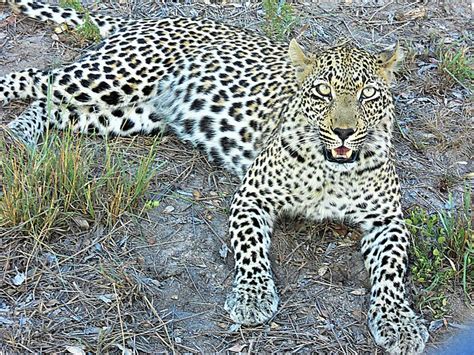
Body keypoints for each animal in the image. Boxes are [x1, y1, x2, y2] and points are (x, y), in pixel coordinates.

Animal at [0, 1, 430, 354]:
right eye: (323, 92)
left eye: (368, 95)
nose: (343, 131)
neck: (331, 171)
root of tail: (150, 20)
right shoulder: (253, 194)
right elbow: (251, 249)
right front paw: (252, 298)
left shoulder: (388, 220)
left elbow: (392, 272)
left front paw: (399, 323)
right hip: (109, 78)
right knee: (33, 77)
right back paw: (15, 133)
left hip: (123, 113)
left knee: (50, 106)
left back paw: (20, 135)